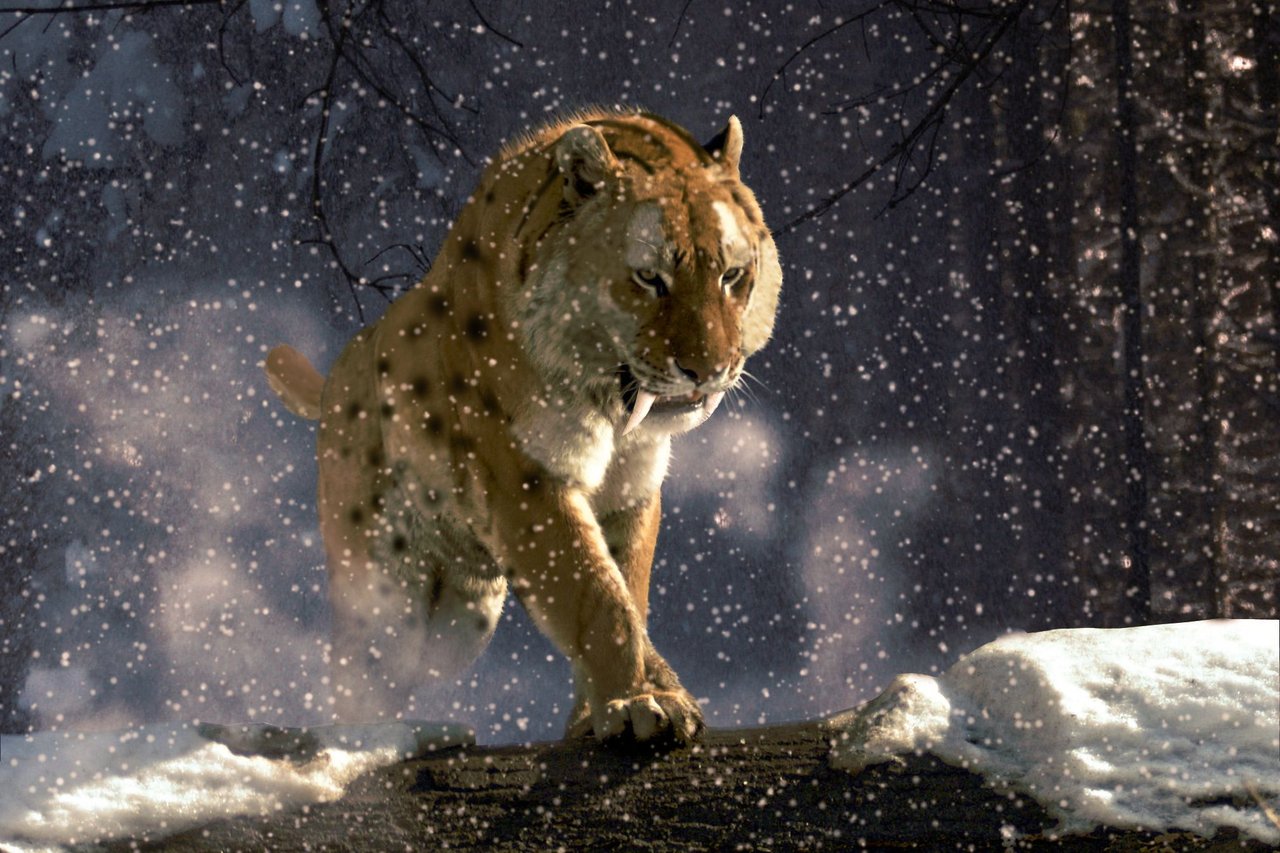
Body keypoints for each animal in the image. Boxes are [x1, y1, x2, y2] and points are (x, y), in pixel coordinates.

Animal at [264, 108, 782, 743]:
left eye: (733, 275)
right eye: (648, 278)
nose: (707, 371)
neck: (616, 409)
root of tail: (343, 367)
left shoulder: (631, 493)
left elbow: (626, 590)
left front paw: (609, 710)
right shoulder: (526, 479)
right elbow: (596, 597)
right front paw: (636, 703)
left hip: (462, 618)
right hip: (386, 596)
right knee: (362, 673)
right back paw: (366, 739)